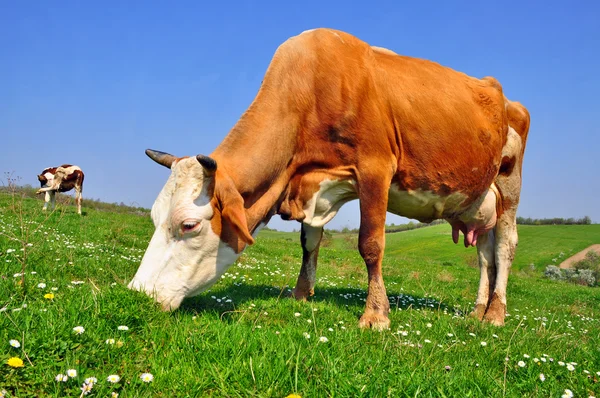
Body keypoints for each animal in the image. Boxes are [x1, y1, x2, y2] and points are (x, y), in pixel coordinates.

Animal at [127, 28, 528, 330]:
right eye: (154, 217)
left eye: (189, 225)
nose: (137, 293)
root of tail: (504, 97)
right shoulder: (311, 185)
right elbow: (310, 242)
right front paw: (301, 294)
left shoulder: (375, 169)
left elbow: (371, 244)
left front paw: (375, 314)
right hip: (478, 200)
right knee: (484, 253)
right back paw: (477, 310)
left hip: (510, 185)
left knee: (505, 247)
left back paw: (495, 314)